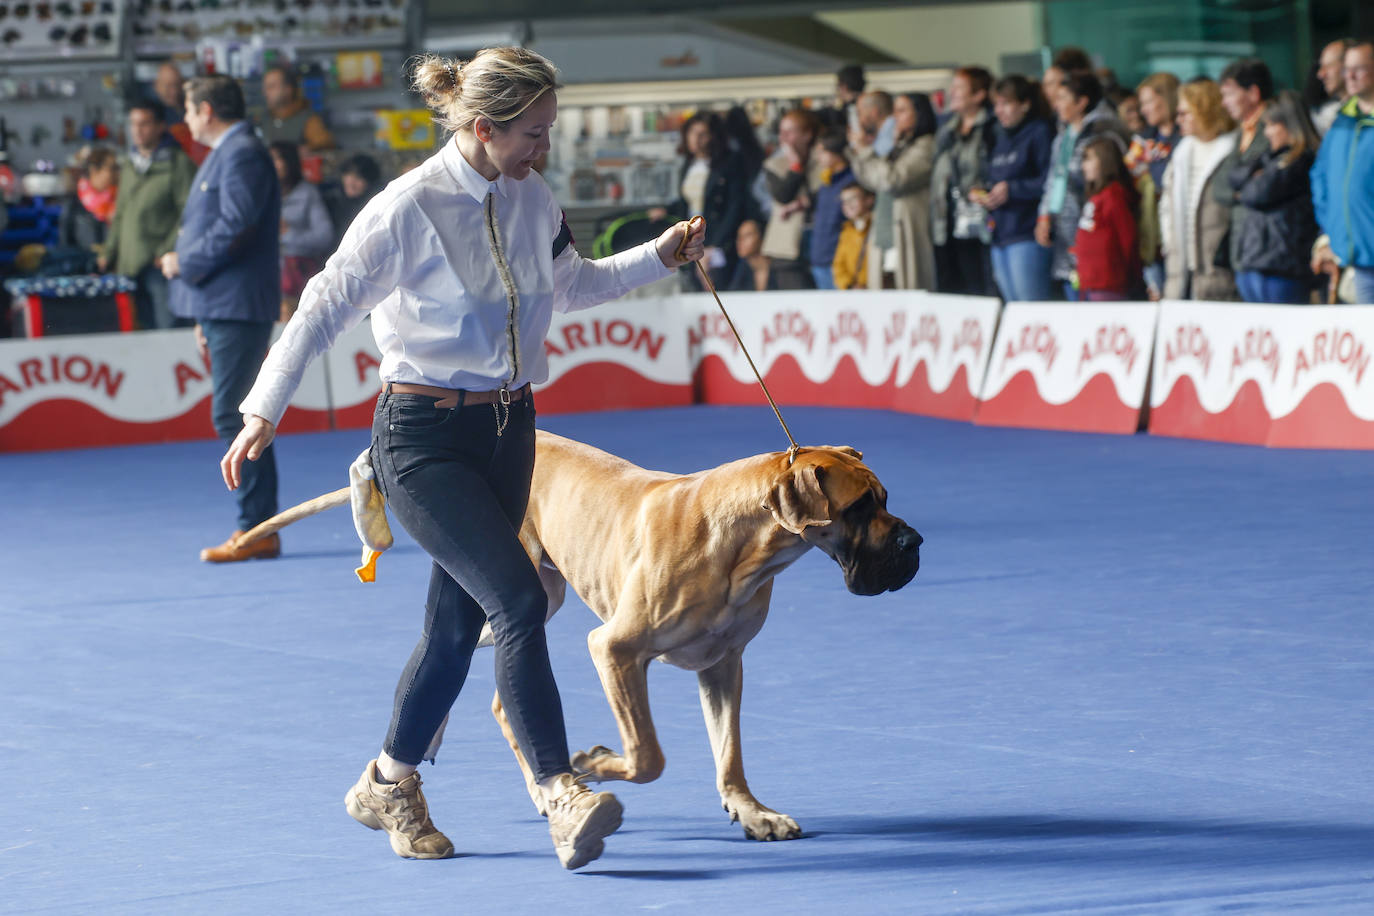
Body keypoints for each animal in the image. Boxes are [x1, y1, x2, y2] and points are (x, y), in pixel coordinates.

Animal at [461, 433, 923, 840]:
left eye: (883, 498)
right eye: (859, 506)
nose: (914, 541)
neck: (741, 548)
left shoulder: (723, 663)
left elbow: (729, 751)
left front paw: (752, 812)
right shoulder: (614, 649)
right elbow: (647, 754)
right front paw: (595, 761)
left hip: (543, 599)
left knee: (501, 697)